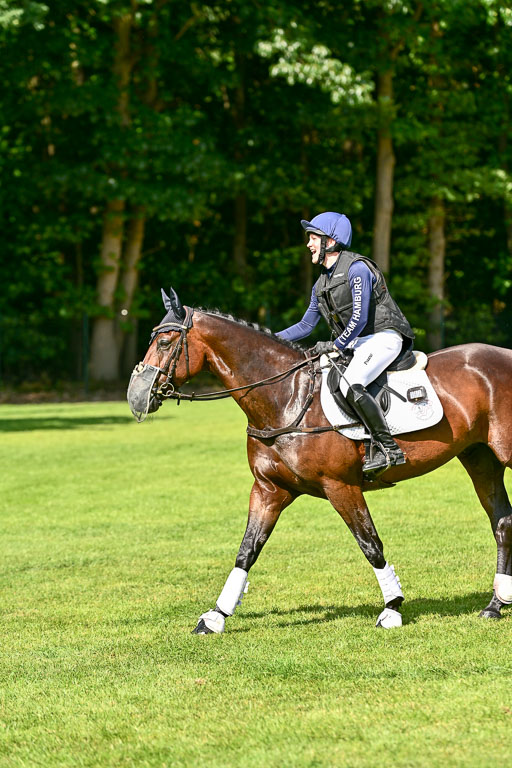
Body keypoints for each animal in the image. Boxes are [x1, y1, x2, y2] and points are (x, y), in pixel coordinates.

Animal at [127, 287, 512, 633]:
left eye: (165, 343)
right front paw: (216, 616)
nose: (135, 398)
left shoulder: (341, 487)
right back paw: (495, 605)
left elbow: (370, 544)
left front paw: (392, 609)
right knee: (502, 522)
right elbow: (247, 550)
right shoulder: (269, 490)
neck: (285, 399)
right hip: (479, 457)